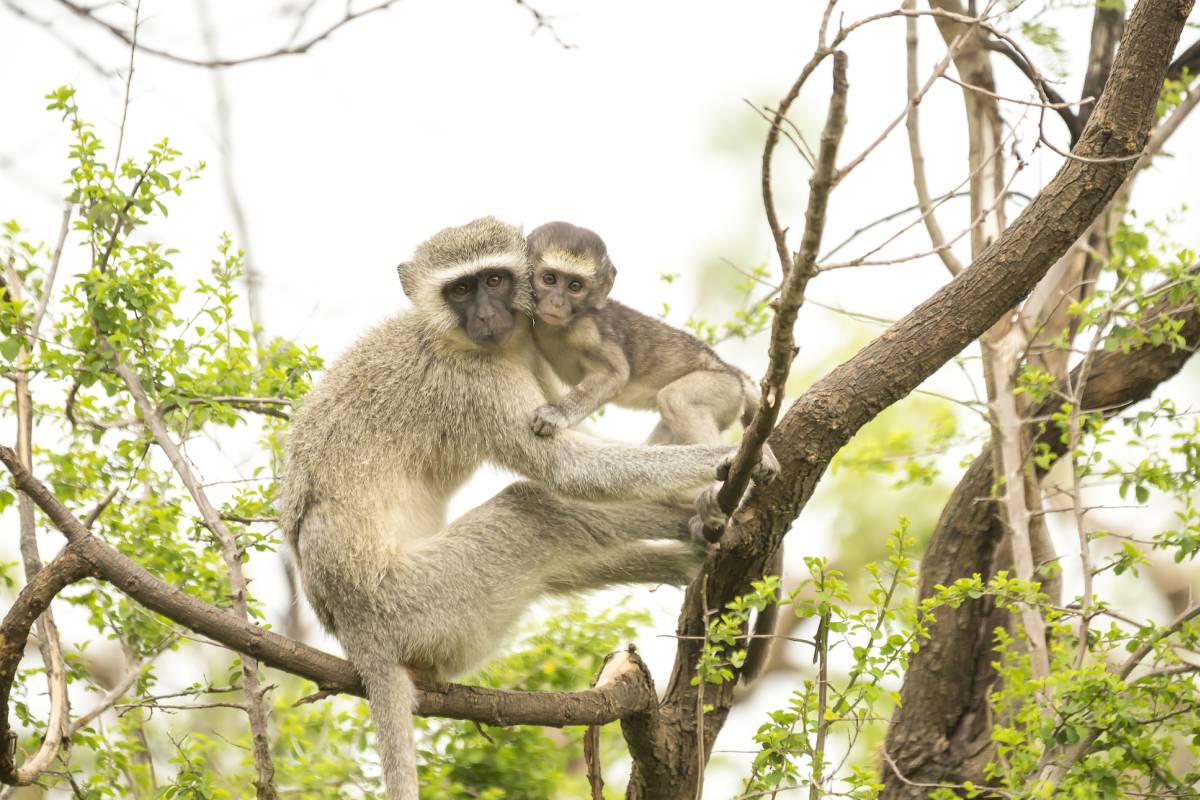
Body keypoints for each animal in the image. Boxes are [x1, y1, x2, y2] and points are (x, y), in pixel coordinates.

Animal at [525, 220, 782, 682]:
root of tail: (737, 376)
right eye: (548, 278)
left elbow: (615, 373)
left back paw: (719, 494)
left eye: (575, 286)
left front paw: (557, 414)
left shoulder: (590, 330)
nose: (555, 302)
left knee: (676, 399)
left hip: (718, 389)